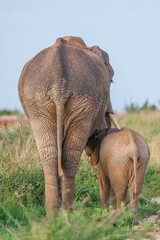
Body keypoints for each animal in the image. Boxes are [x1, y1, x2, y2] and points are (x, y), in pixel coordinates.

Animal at [18, 36, 119, 214]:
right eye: (111, 80)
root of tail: (59, 86)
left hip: (47, 104)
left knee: (51, 154)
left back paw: (55, 213)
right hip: (74, 100)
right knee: (68, 155)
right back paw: (65, 211)